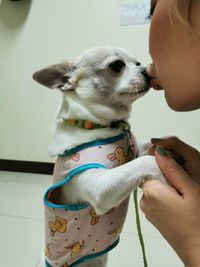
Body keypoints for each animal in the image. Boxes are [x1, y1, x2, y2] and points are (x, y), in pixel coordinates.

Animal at [33, 47, 166, 267]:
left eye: (137, 63)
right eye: (117, 65)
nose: (147, 69)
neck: (96, 125)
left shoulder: (135, 149)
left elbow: (148, 147)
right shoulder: (100, 189)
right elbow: (143, 162)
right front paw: (161, 171)